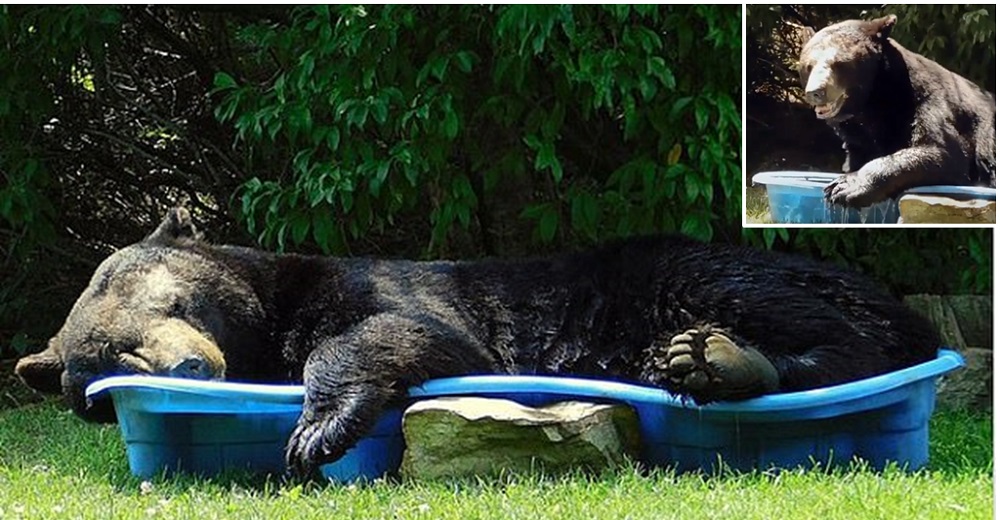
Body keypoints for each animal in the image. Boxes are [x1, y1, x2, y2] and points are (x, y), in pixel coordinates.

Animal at [13, 207, 936, 476]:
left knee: (826, 322)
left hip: (699, 271)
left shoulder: (378, 286)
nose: (189, 365)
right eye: (106, 364)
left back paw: (719, 356)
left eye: (170, 302)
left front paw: (317, 430)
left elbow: (408, 332)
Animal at [796, 13, 992, 207]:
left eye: (838, 63)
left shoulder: (930, 103)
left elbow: (943, 152)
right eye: (808, 65)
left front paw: (844, 186)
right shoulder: (858, 137)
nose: (816, 92)